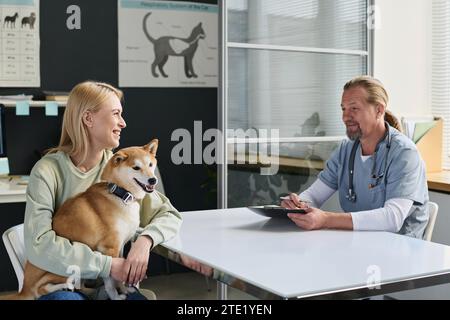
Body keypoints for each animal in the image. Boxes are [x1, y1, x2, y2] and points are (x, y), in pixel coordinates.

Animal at [1, 139, 158, 298]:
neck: (120, 194)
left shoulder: (119, 248)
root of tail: (24, 287)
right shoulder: (108, 249)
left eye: (150, 165)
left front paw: (125, 289)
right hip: (66, 268)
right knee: (41, 289)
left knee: (80, 286)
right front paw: (115, 296)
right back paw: (65, 287)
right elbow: (111, 280)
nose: (153, 180)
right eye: (136, 167)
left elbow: (120, 276)